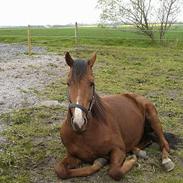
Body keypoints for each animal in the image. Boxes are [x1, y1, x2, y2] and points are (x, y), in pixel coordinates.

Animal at [54, 52, 176, 181]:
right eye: (68, 83)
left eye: (91, 83)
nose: (79, 122)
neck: (85, 134)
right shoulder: (74, 155)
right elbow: (60, 170)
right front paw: (100, 161)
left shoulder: (118, 150)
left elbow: (115, 172)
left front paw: (131, 160)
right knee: (145, 141)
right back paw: (137, 151)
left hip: (153, 117)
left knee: (164, 144)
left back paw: (166, 161)